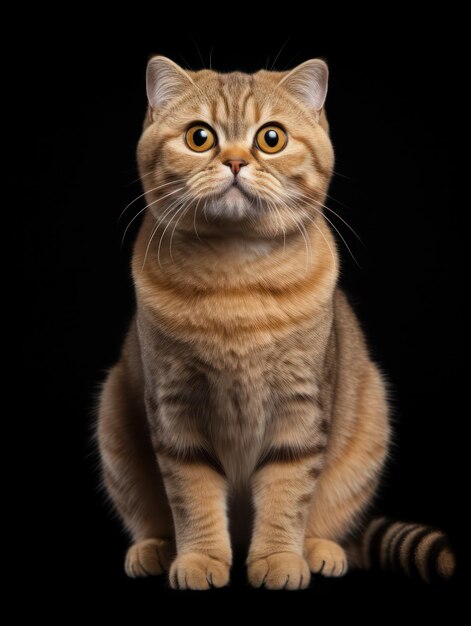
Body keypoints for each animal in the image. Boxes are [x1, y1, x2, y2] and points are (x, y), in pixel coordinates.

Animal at [97, 56, 458, 588]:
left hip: (369, 418)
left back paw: (320, 550)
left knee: (325, 519)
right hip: (115, 420)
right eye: (200, 137)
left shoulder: (301, 411)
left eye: (271, 138)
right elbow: (193, 498)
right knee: (151, 517)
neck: (237, 285)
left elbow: (287, 496)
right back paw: (155, 549)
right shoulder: (175, 412)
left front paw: (278, 559)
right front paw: (200, 559)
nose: (234, 161)